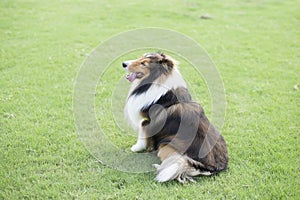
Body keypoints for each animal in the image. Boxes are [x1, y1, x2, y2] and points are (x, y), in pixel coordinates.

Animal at [122, 52, 227, 183]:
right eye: (141, 57)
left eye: (143, 63)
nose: (123, 64)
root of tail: (211, 167)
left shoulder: (147, 122)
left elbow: (142, 135)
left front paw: (136, 148)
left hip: (166, 146)